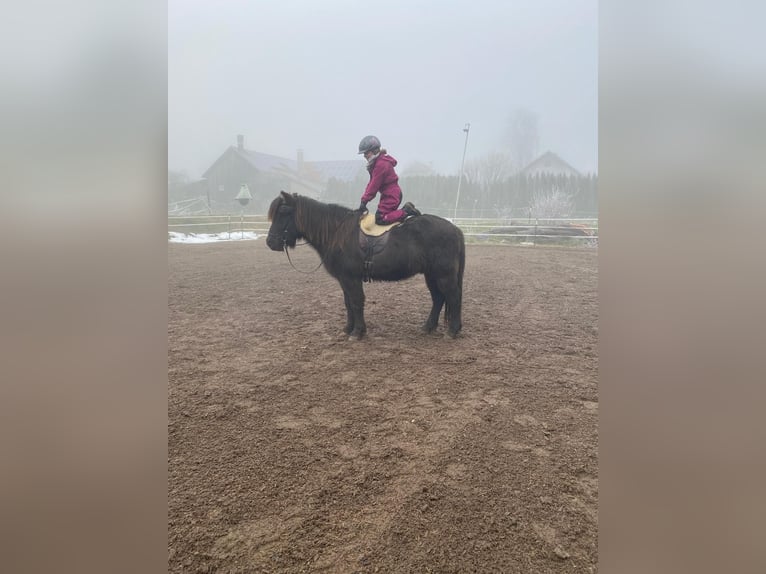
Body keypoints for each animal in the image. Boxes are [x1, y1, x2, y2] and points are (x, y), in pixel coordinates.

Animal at [268, 191, 464, 340]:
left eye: (284, 211)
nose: (270, 242)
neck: (337, 233)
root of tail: (455, 229)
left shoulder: (351, 278)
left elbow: (356, 302)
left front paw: (358, 332)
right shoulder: (344, 279)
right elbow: (348, 303)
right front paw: (348, 328)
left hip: (444, 275)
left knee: (453, 297)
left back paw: (452, 331)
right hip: (431, 275)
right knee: (438, 298)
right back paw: (428, 327)